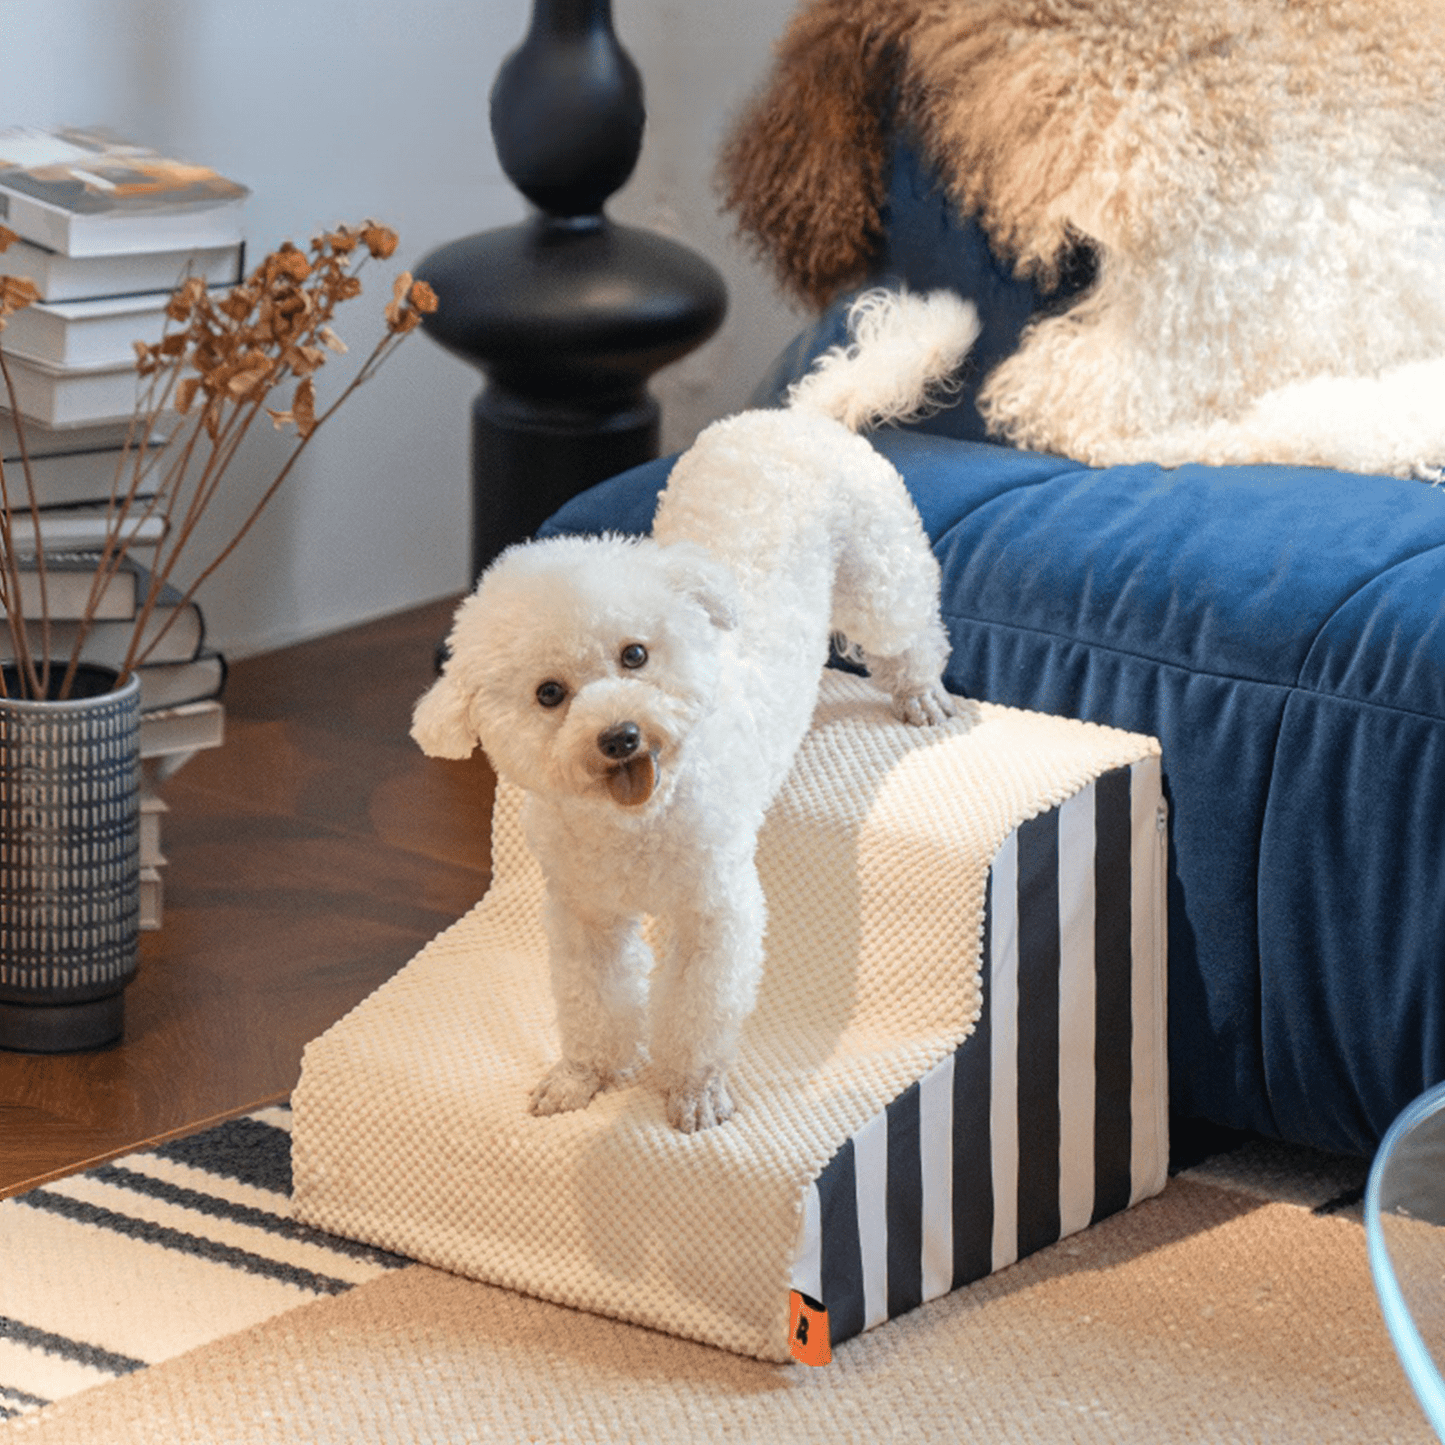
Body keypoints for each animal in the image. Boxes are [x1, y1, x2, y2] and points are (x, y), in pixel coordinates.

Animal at [413, 290, 988, 1127]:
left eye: (634, 655)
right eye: (549, 694)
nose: (621, 735)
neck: (632, 824)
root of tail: (800, 415)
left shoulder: (711, 912)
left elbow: (696, 1007)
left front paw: (692, 1092)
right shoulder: (585, 916)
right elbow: (592, 1003)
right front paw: (582, 1075)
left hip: (881, 574)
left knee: (911, 631)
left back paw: (920, 695)